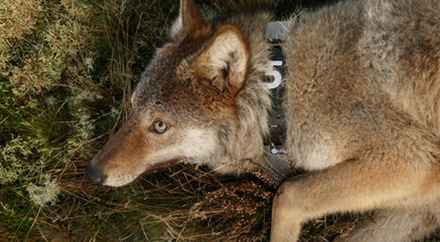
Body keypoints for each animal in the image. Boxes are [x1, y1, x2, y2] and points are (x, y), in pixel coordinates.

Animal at [86, 0, 440, 240]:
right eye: (133, 108)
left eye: (160, 126)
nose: (92, 172)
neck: (283, 95)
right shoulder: (421, 204)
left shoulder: (410, 160)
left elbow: (287, 195)